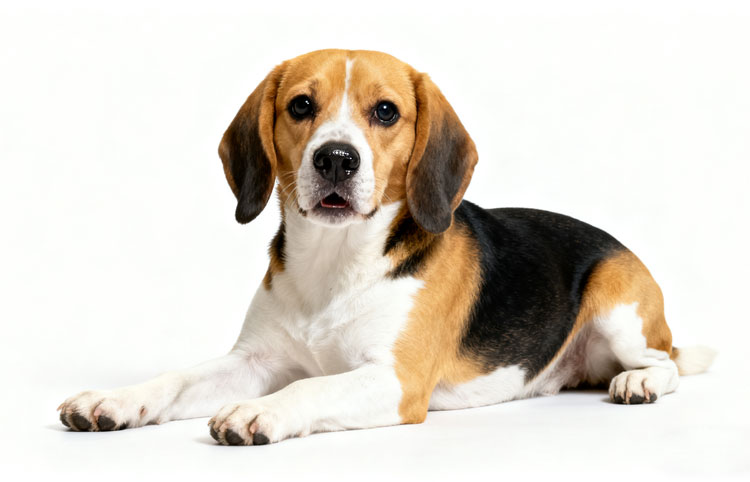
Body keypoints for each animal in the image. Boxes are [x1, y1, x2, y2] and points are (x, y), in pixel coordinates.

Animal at [58, 49, 716, 445]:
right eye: (301, 105)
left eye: (385, 112)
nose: (335, 159)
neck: (336, 263)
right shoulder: (255, 360)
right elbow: (173, 380)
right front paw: (113, 400)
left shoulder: (395, 380)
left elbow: (310, 385)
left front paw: (257, 412)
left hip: (621, 315)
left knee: (665, 362)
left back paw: (638, 384)